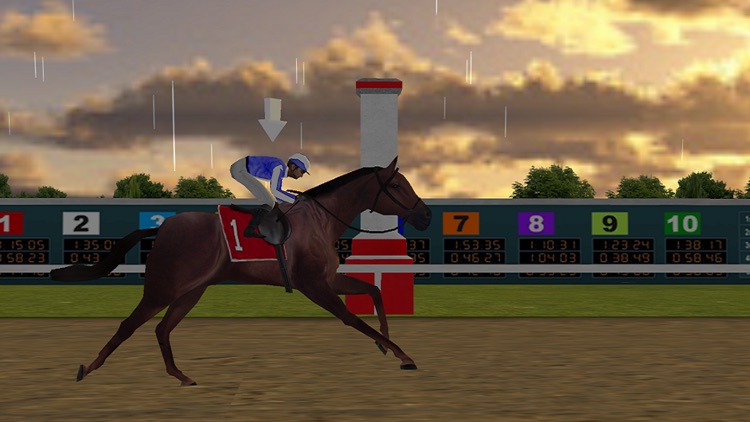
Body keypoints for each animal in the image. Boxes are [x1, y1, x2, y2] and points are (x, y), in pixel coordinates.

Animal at [50, 156, 432, 386]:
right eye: (396, 185)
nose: (426, 215)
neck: (321, 221)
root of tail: (162, 227)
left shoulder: (327, 279)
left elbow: (375, 291)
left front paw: (388, 347)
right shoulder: (313, 284)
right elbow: (352, 319)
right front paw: (403, 354)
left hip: (191, 291)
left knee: (161, 328)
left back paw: (181, 375)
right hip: (163, 287)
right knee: (129, 325)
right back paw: (88, 368)